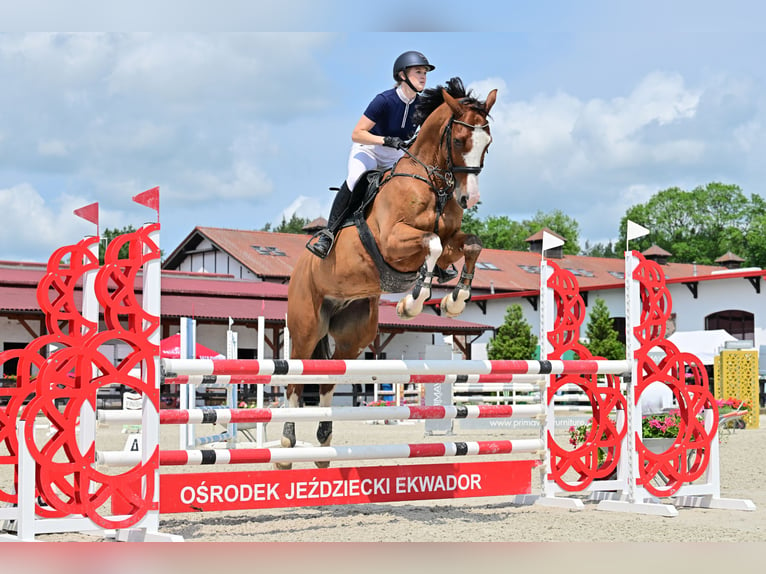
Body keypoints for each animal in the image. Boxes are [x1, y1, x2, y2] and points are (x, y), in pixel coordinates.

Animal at [282, 80, 498, 468]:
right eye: (460, 140)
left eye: (487, 143)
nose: (469, 198)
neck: (432, 183)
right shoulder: (393, 241)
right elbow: (432, 244)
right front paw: (412, 303)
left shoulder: (453, 239)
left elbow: (471, 245)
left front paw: (455, 301)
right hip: (306, 326)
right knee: (295, 380)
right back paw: (286, 446)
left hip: (354, 334)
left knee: (327, 378)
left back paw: (323, 445)